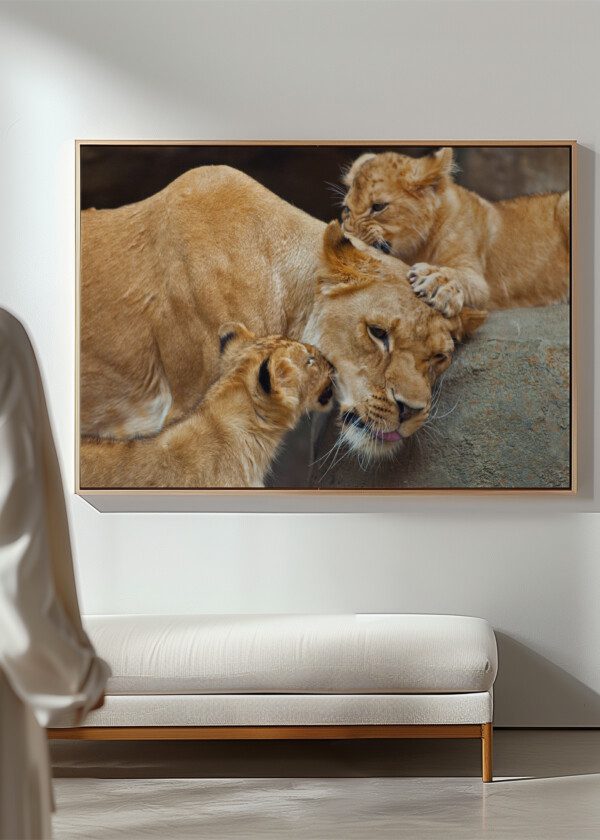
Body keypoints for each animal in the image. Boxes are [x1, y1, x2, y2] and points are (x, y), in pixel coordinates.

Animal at [341, 148, 570, 317]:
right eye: (347, 210)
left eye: (378, 206)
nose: (346, 236)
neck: (416, 249)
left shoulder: (478, 279)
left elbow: (461, 277)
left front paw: (436, 282)